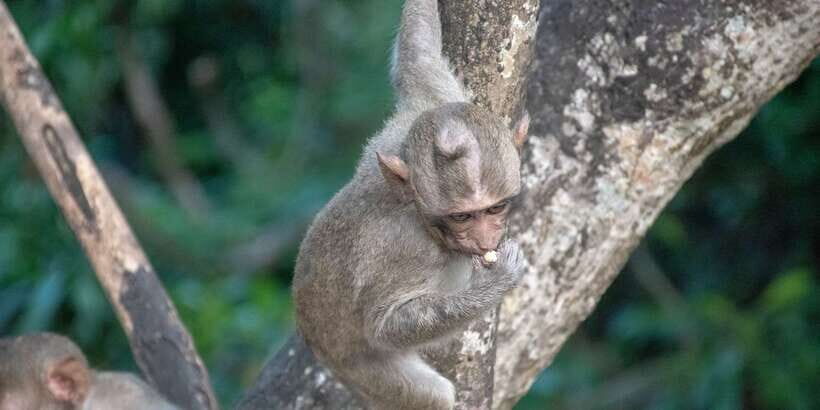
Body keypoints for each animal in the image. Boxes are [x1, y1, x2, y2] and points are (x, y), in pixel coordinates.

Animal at [292, 0, 529, 409]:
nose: (485, 241)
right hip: (358, 367)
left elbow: (417, 58)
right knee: (429, 394)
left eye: (494, 209)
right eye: (462, 216)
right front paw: (495, 283)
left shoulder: (434, 103)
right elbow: (383, 324)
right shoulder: (406, 250)